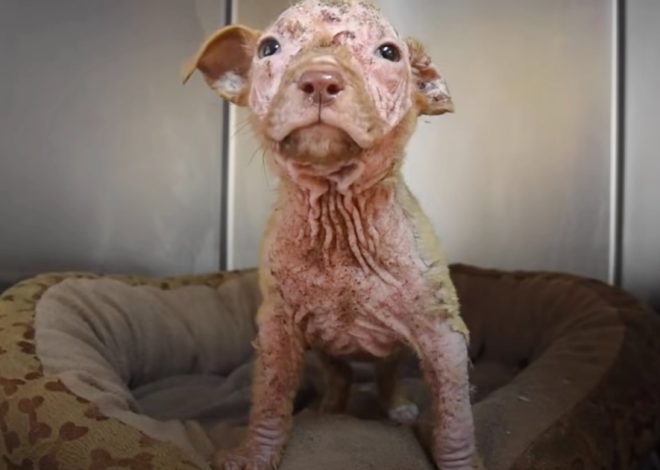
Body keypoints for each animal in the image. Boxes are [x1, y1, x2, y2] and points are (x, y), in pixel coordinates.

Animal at [184, 1, 480, 468]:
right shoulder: (277, 329)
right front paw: (255, 454)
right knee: (339, 376)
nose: (320, 79)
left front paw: (460, 460)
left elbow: (455, 422)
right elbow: (269, 400)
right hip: (325, 350)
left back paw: (397, 406)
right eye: (269, 48)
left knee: (386, 373)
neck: (337, 216)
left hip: (394, 349)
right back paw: (329, 408)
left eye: (389, 52)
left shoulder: (444, 333)